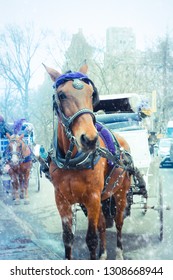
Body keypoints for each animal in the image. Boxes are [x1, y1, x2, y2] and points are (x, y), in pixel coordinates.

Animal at [44, 62, 136, 260]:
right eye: (61, 95)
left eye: (91, 93)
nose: (90, 139)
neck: (71, 161)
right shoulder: (61, 199)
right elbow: (68, 237)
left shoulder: (92, 197)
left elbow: (91, 239)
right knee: (102, 224)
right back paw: (103, 253)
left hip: (121, 192)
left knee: (118, 222)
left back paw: (119, 253)